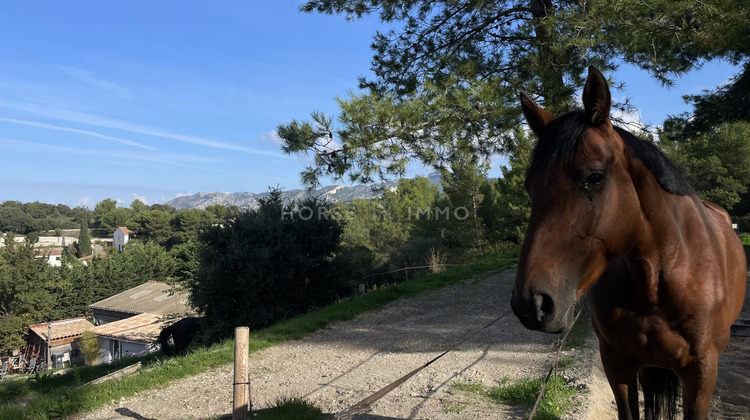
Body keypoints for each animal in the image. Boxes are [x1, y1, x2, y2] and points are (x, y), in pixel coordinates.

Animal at [516, 67, 748, 418]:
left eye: (594, 177)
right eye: (530, 186)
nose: (532, 304)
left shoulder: (702, 373)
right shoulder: (618, 365)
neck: (661, 276)